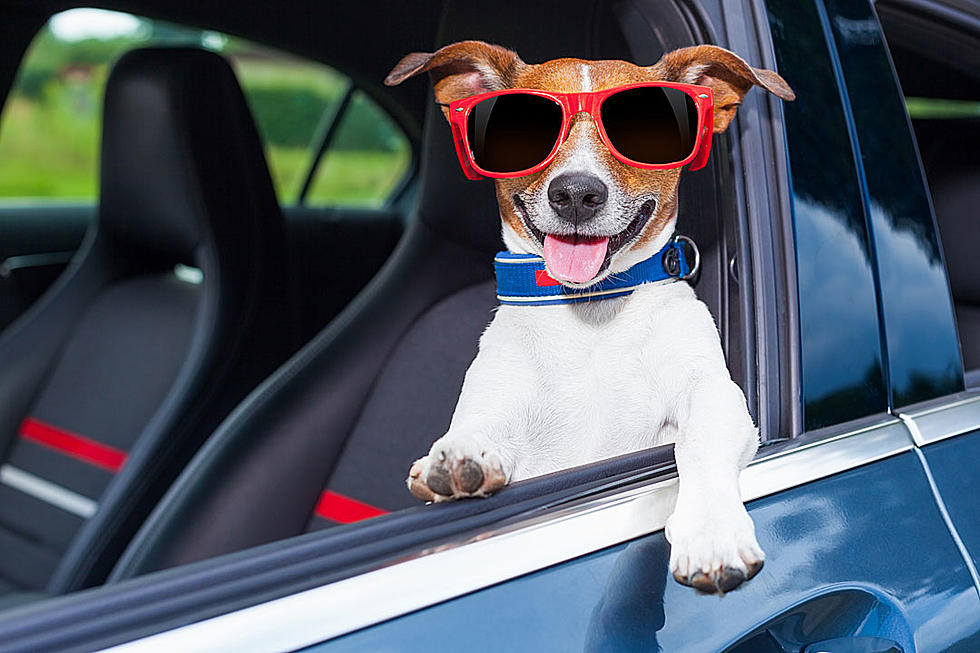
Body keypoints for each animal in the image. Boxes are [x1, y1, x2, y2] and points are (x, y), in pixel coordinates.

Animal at [384, 38, 796, 592]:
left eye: (643, 129)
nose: (576, 194)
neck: (591, 317)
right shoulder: (499, 403)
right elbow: (479, 427)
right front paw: (460, 457)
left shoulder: (713, 394)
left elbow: (701, 443)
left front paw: (712, 533)